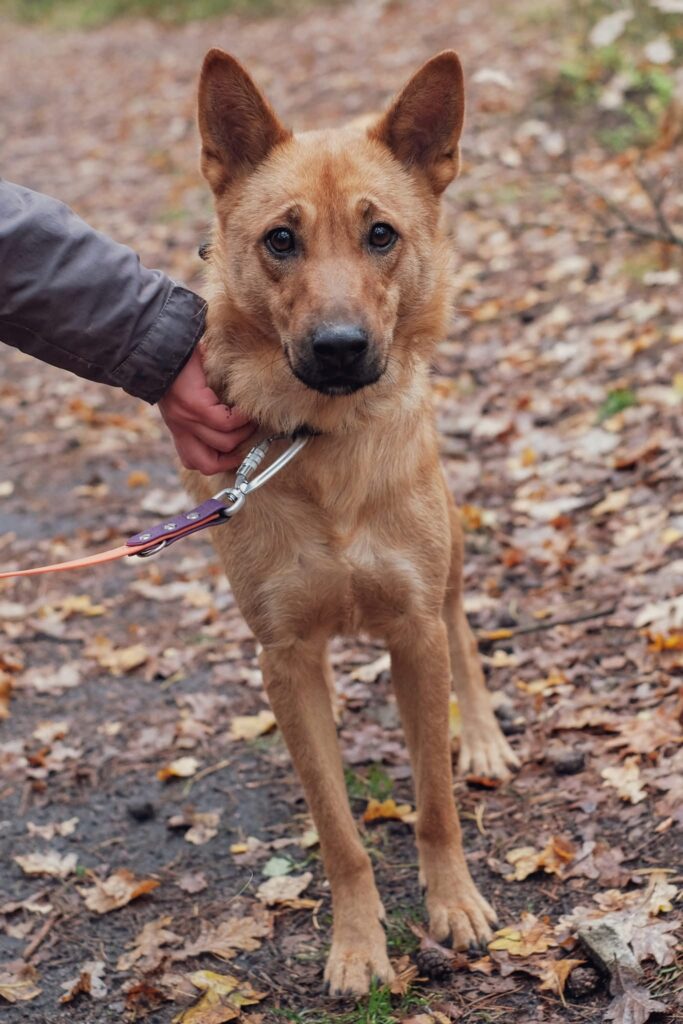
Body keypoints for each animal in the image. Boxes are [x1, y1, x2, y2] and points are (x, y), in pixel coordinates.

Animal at [183, 48, 519, 996]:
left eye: (380, 235)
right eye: (280, 240)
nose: (338, 348)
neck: (323, 446)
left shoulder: (411, 631)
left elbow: (433, 802)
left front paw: (452, 904)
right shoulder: (286, 659)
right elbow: (338, 833)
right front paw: (358, 943)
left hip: (445, 561)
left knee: (463, 629)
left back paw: (482, 736)